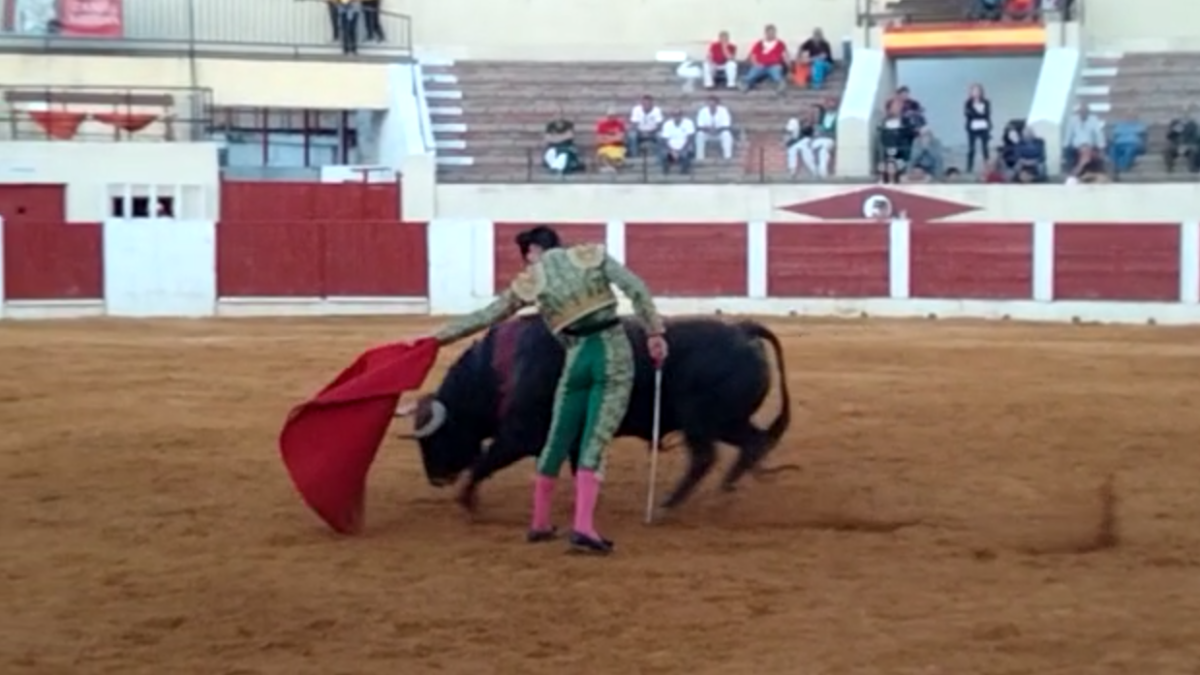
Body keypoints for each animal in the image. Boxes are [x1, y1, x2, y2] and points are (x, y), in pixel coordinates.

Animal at [393, 314, 801, 509]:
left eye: (437, 437)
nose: (436, 479)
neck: (501, 369)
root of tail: (743, 330)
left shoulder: (522, 435)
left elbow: (486, 460)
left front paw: (467, 499)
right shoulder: (573, 436)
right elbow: (578, 467)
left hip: (704, 419)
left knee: (709, 456)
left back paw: (673, 503)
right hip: (722, 420)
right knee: (752, 442)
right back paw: (724, 487)